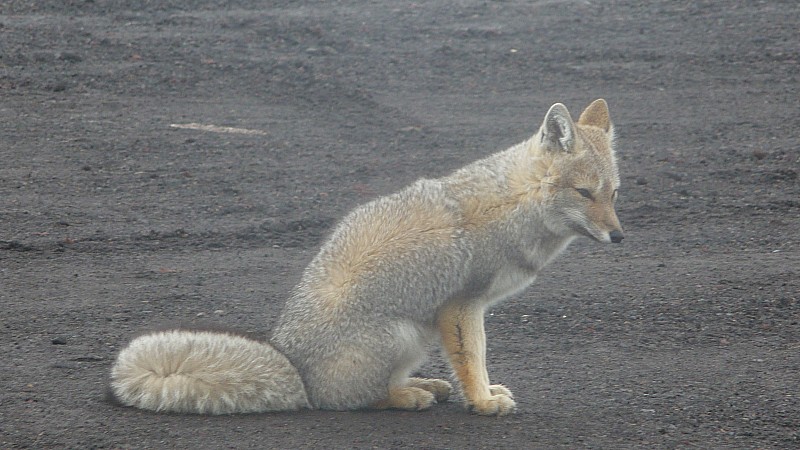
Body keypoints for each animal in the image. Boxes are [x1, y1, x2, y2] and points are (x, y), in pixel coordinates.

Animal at [111, 100, 624, 416]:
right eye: (585, 193)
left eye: (614, 194)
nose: (619, 236)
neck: (515, 203)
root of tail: (297, 373)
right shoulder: (462, 305)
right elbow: (472, 357)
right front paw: (480, 401)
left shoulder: (462, 309)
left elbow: (476, 361)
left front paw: (482, 392)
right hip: (402, 334)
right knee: (353, 401)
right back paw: (406, 397)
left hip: (418, 335)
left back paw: (420, 386)